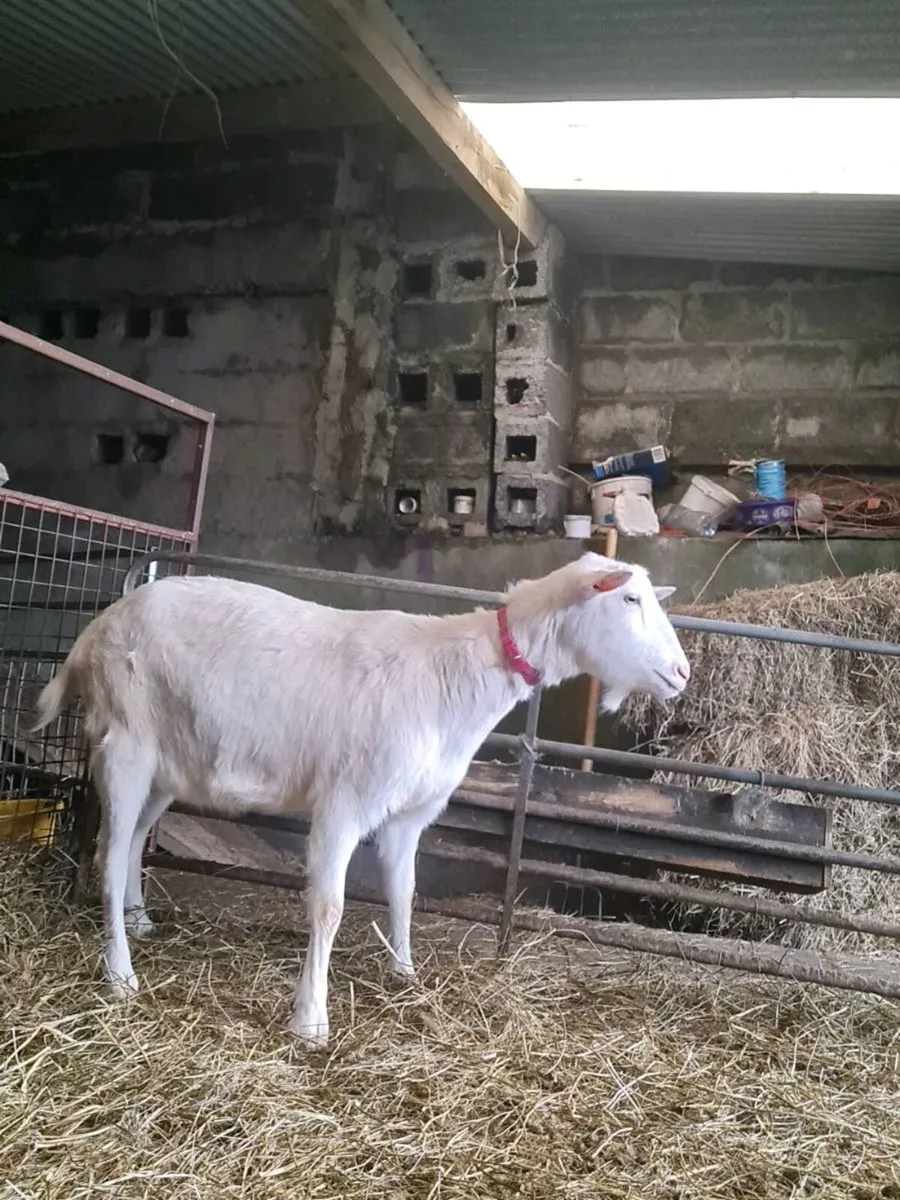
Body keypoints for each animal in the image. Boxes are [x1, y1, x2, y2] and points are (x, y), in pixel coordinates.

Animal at [33, 552, 690, 1048]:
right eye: (630, 601)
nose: (682, 674)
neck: (455, 673)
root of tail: (96, 628)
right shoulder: (344, 803)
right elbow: (328, 907)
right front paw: (310, 1021)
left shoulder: (409, 813)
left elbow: (405, 891)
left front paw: (406, 972)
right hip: (126, 743)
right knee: (108, 853)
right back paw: (120, 973)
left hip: (170, 762)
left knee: (134, 839)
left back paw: (140, 921)